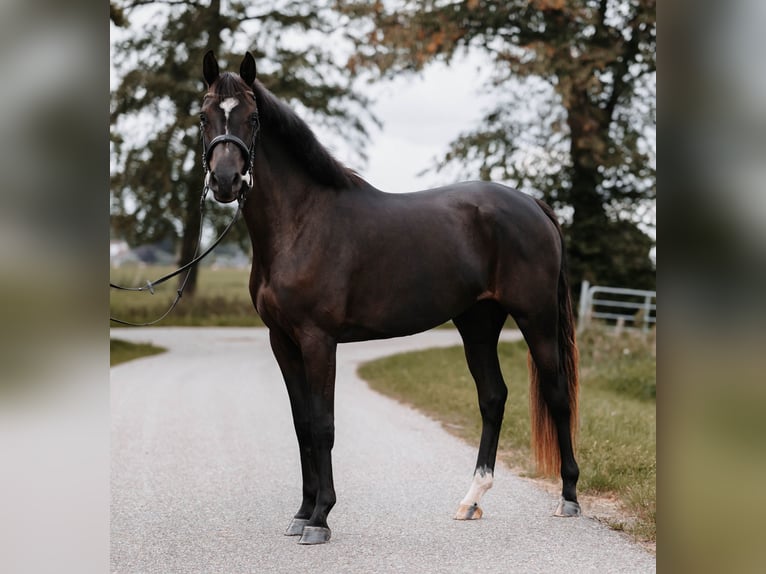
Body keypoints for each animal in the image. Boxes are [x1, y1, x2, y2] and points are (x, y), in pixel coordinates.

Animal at [199, 51, 581, 545]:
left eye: (251, 117)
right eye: (204, 116)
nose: (225, 181)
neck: (301, 223)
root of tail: (533, 204)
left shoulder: (318, 340)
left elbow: (323, 425)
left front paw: (320, 518)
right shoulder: (281, 341)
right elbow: (302, 425)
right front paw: (302, 512)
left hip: (535, 318)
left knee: (557, 394)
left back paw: (568, 497)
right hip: (478, 323)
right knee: (493, 397)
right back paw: (471, 499)